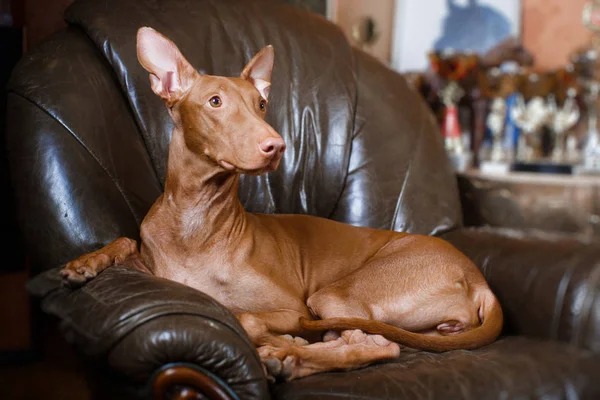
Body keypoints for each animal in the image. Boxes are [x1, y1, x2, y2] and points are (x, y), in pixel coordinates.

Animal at [59, 25, 502, 382]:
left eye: (260, 104)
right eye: (215, 101)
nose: (277, 145)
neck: (197, 219)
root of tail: (479, 279)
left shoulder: (292, 307)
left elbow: (246, 316)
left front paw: (281, 340)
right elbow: (125, 241)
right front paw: (85, 263)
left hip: (332, 298)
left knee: (375, 343)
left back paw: (287, 354)